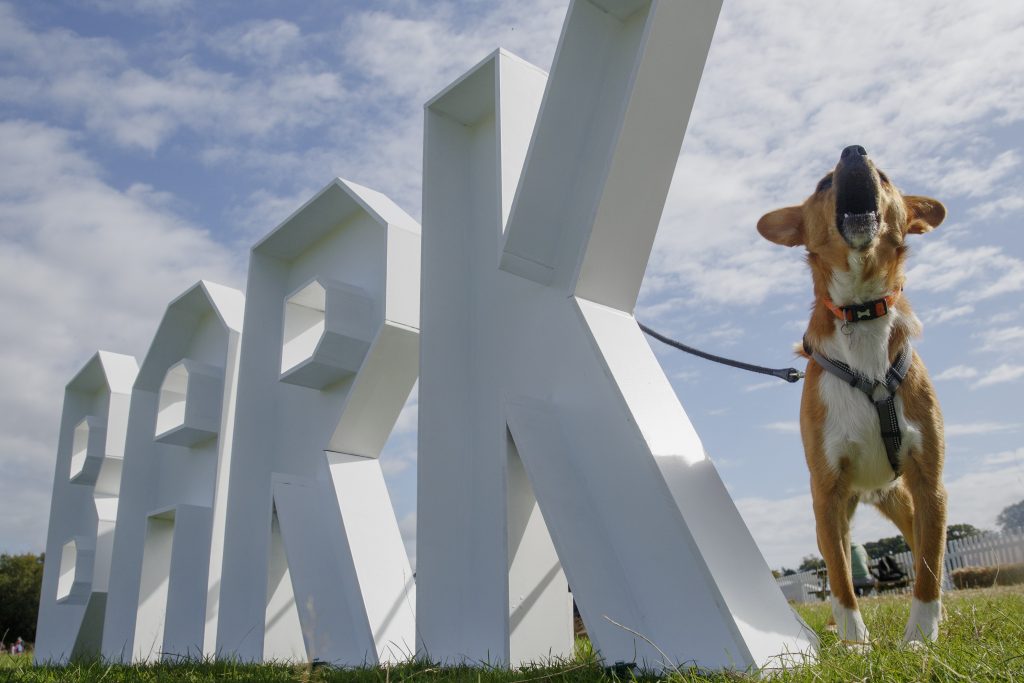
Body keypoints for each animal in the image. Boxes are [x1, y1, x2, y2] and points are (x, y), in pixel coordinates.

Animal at [757, 145, 946, 647]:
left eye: (885, 175)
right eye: (824, 183)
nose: (854, 150)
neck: (861, 312)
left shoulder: (930, 482)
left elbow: (928, 567)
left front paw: (920, 637)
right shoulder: (826, 492)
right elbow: (841, 580)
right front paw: (856, 643)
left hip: (904, 501)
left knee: (923, 548)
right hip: (841, 511)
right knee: (839, 556)